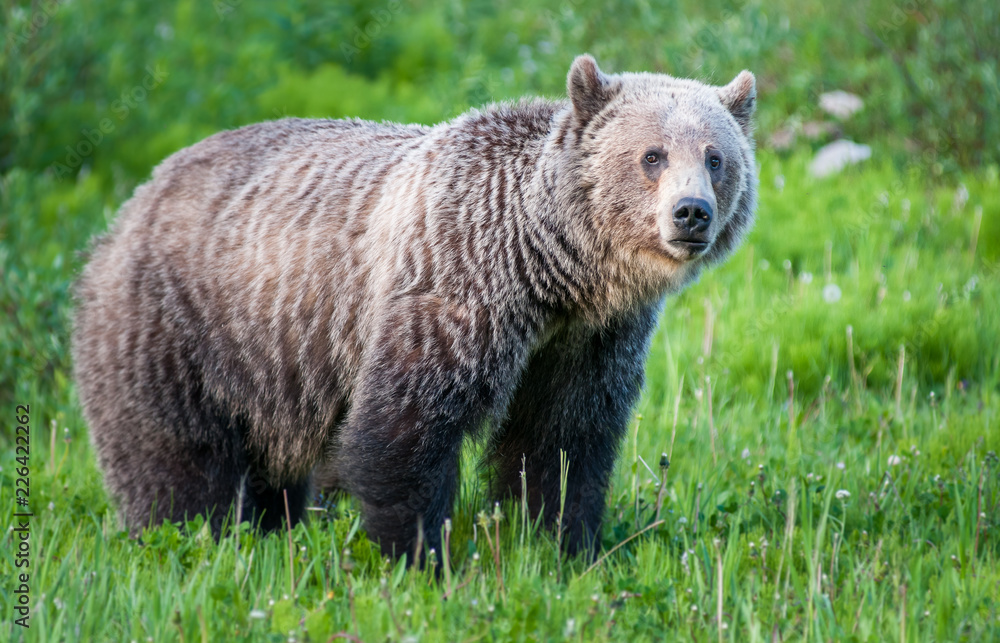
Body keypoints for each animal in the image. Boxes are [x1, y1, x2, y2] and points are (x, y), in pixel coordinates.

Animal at [73, 55, 757, 560]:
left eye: (715, 158)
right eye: (652, 156)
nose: (691, 213)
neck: (550, 268)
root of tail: (127, 205)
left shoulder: (587, 340)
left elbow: (562, 441)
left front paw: (561, 545)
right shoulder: (454, 285)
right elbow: (406, 430)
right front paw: (420, 553)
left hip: (269, 370)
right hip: (181, 326)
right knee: (173, 460)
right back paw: (188, 537)